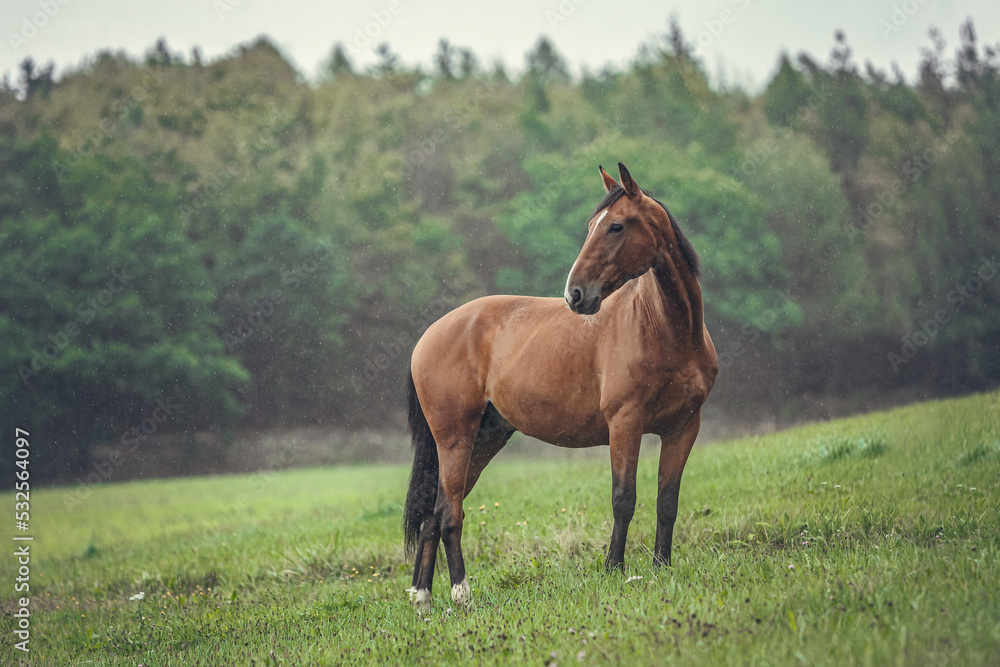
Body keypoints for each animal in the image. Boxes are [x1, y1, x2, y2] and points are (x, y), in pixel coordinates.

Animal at [403, 162, 718, 609]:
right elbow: (624, 499)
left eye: (616, 226)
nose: (576, 295)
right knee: (450, 514)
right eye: (592, 226)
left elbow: (667, 501)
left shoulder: (684, 428)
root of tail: (427, 337)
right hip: (455, 440)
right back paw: (461, 593)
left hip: (484, 440)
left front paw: (662, 567)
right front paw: (614, 568)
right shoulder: (625, 424)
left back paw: (423, 597)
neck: (666, 330)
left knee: (435, 512)